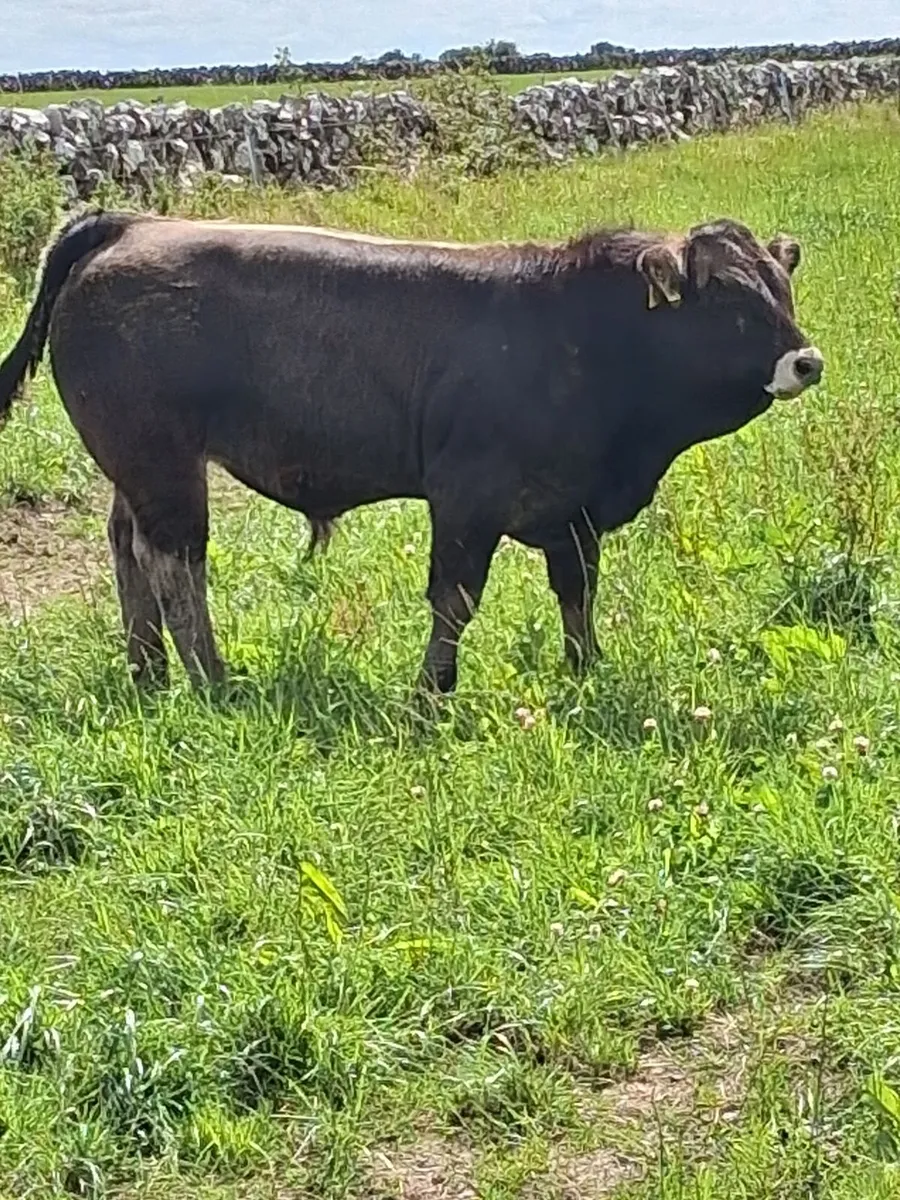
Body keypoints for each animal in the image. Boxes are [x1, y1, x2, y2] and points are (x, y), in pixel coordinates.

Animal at [0, 211, 823, 695]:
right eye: (727, 298)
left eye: (780, 286)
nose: (806, 361)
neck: (582, 338)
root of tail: (135, 223)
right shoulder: (466, 500)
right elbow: (454, 599)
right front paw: (433, 694)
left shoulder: (575, 514)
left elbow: (577, 594)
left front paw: (586, 670)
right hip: (162, 464)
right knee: (175, 562)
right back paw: (210, 679)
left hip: (135, 466)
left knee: (126, 548)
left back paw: (149, 671)